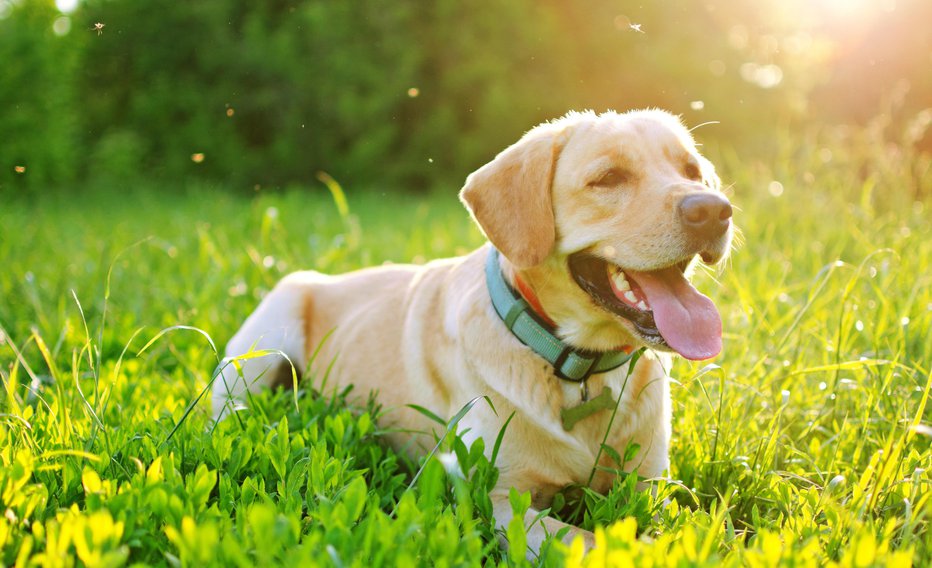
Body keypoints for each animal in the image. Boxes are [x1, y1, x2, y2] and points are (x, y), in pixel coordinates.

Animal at [213, 110, 736, 556]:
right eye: (608, 178)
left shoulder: (651, 486)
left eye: (691, 170)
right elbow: (591, 540)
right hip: (262, 345)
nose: (715, 209)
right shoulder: (501, 499)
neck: (577, 368)